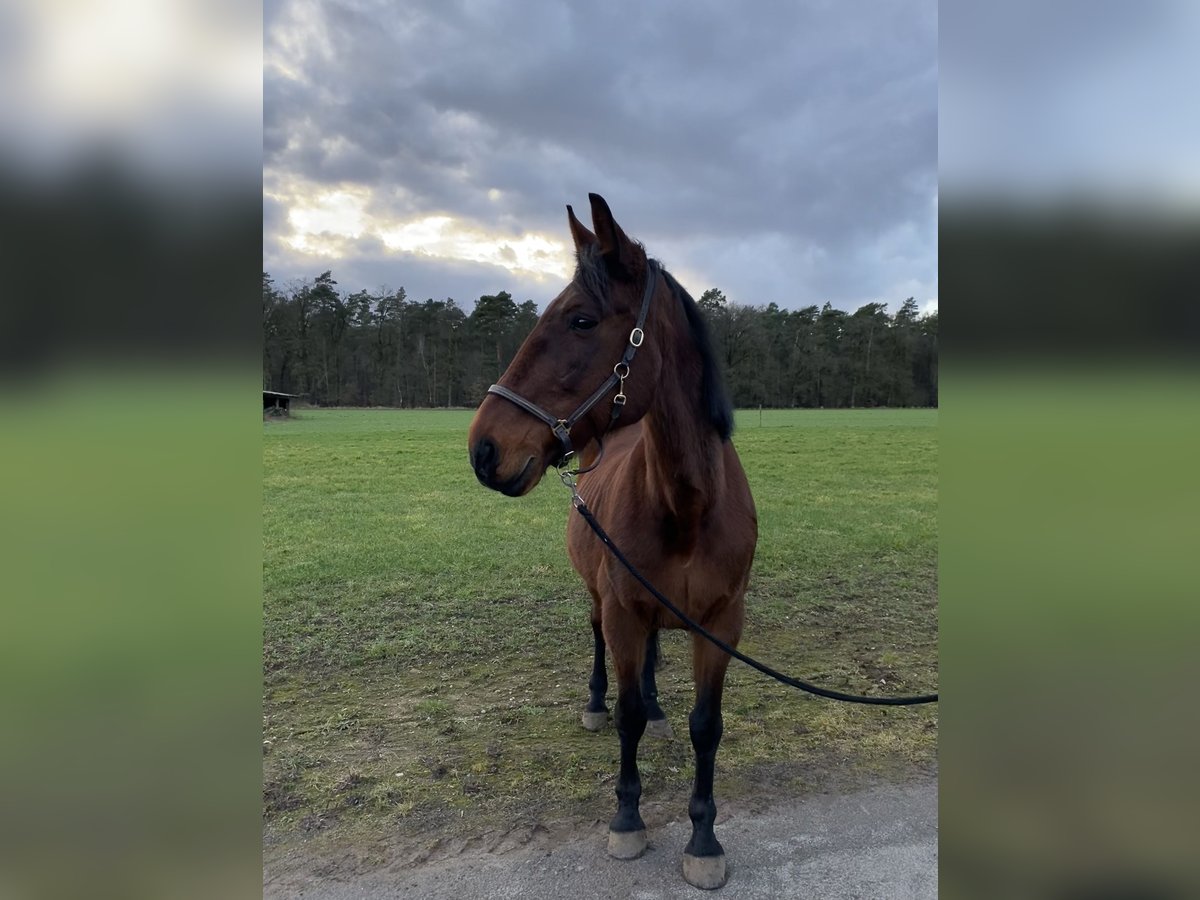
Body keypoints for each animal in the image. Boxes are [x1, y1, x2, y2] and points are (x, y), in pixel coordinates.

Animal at [470, 194, 758, 892]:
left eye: (581, 319)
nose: (484, 448)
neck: (688, 508)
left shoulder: (722, 623)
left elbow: (706, 726)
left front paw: (704, 839)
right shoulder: (625, 608)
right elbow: (626, 715)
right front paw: (627, 819)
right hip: (604, 599)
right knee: (601, 642)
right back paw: (598, 700)